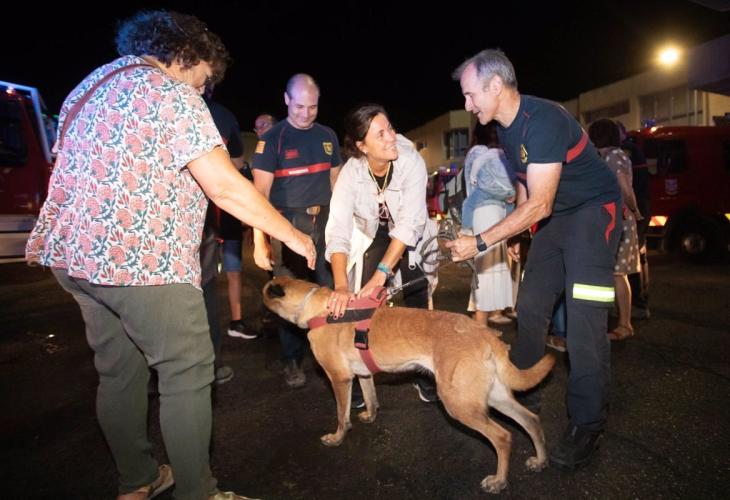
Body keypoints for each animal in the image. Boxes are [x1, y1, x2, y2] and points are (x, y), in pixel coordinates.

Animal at [263, 276, 555, 494]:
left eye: (265, 294)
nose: (264, 319)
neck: (317, 307)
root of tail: (483, 333)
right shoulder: (363, 376)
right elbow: (370, 397)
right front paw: (369, 415)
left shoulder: (339, 379)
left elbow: (340, 415)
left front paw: (337, 437)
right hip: (492, 396)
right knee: (530, 420)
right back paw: (540, 460)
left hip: (459, 403)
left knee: (503, 437)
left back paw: (499, 481)